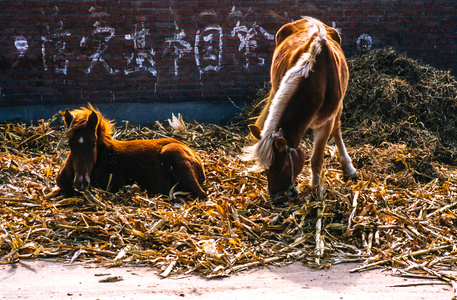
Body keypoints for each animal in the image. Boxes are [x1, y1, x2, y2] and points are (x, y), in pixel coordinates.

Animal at [244, 16, 354, 199]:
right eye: (266, 167)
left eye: (282, 166)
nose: (276, 196)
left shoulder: (326, 121)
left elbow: (317, 158)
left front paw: (317, 189)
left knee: (337, 128)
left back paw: (348, 167)